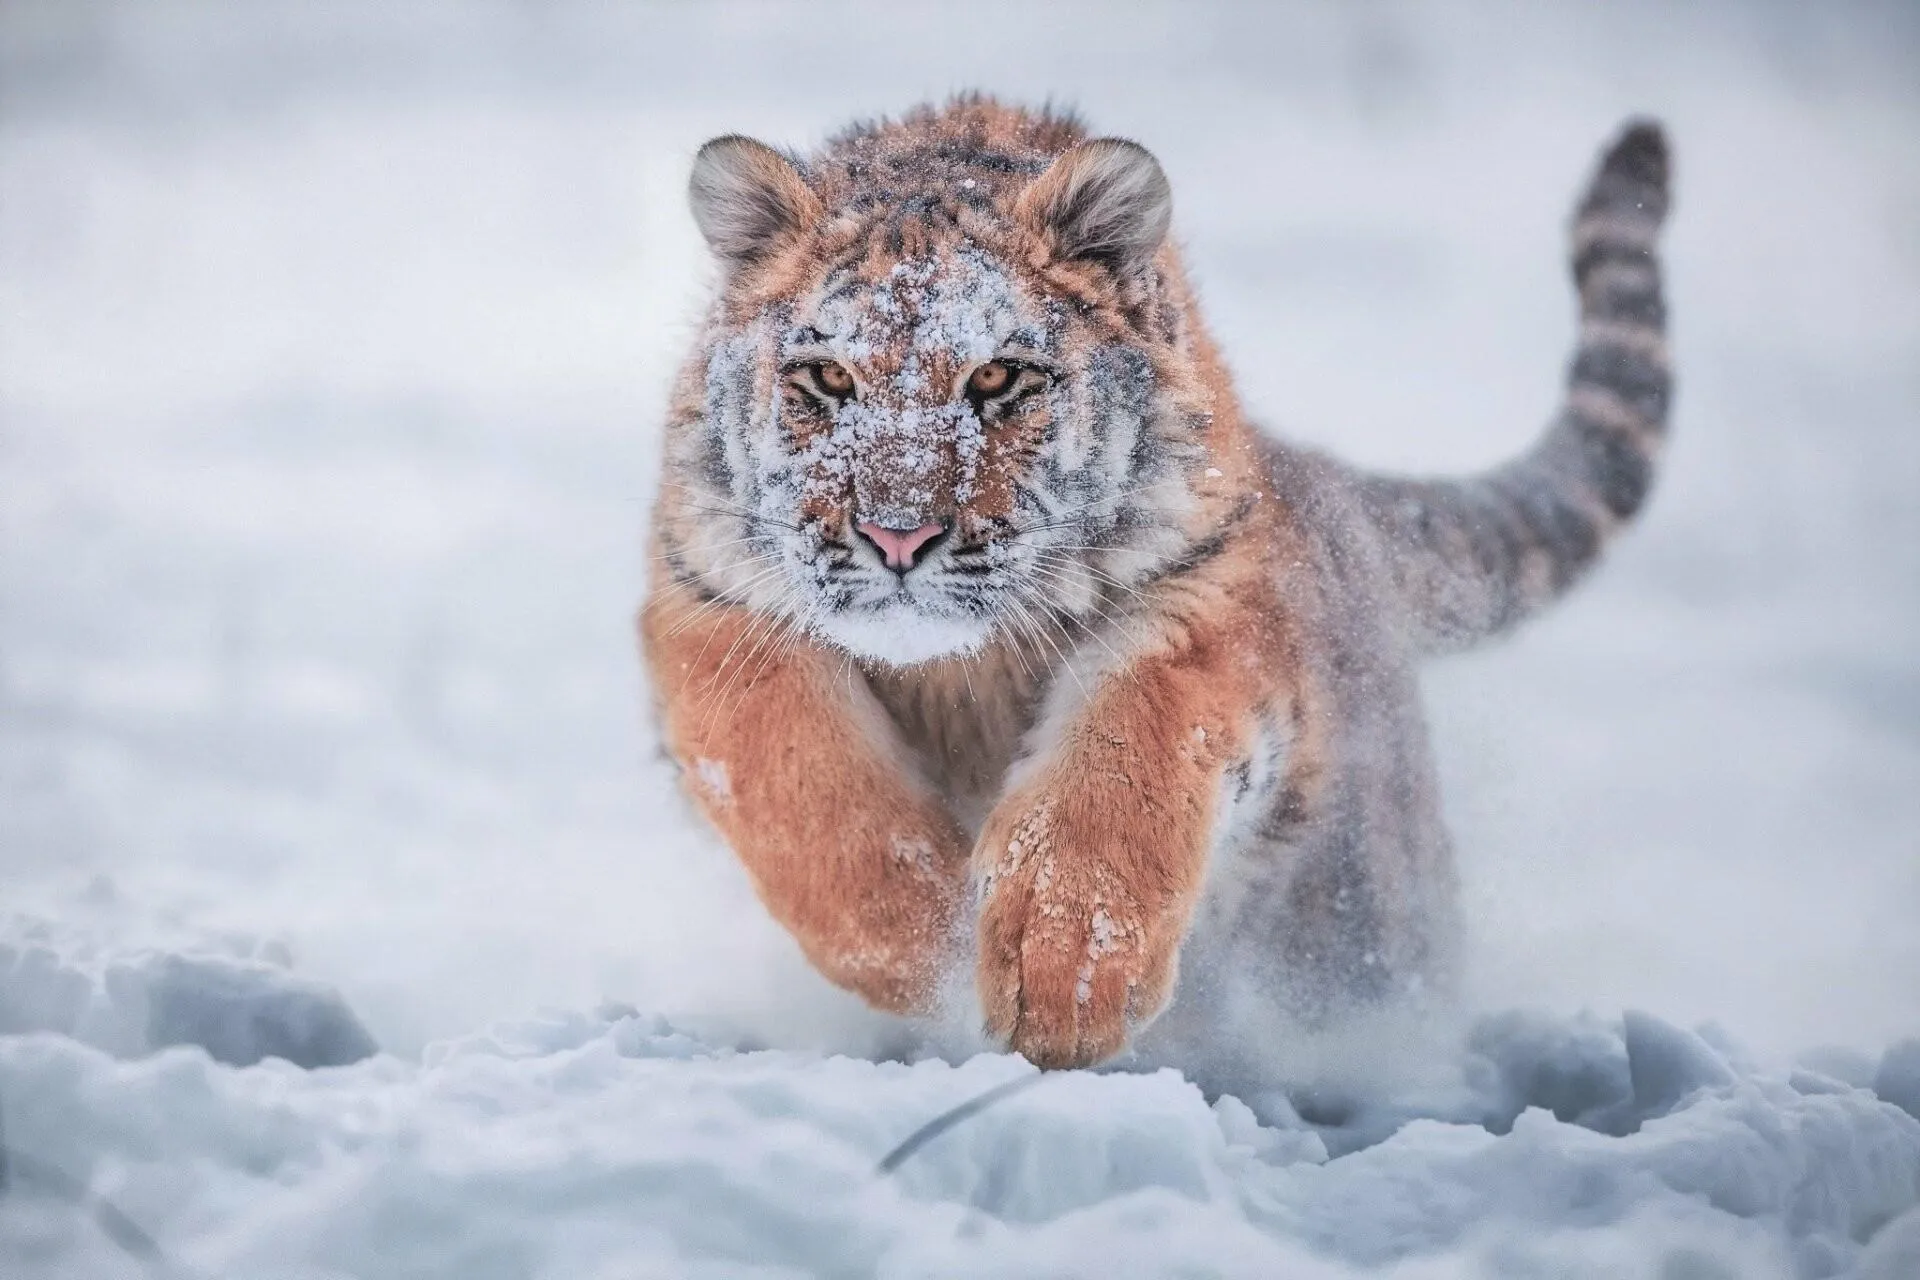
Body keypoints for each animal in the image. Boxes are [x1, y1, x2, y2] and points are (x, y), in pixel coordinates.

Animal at [639, 96, 1672, 1071]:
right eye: (826, 377)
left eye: (998, 378)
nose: (900, 535)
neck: (959, 673)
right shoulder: (712, 605)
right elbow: (798, 779)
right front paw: (924, 941)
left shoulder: (1203, 602)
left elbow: (1125, 755)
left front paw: (1063, 976)